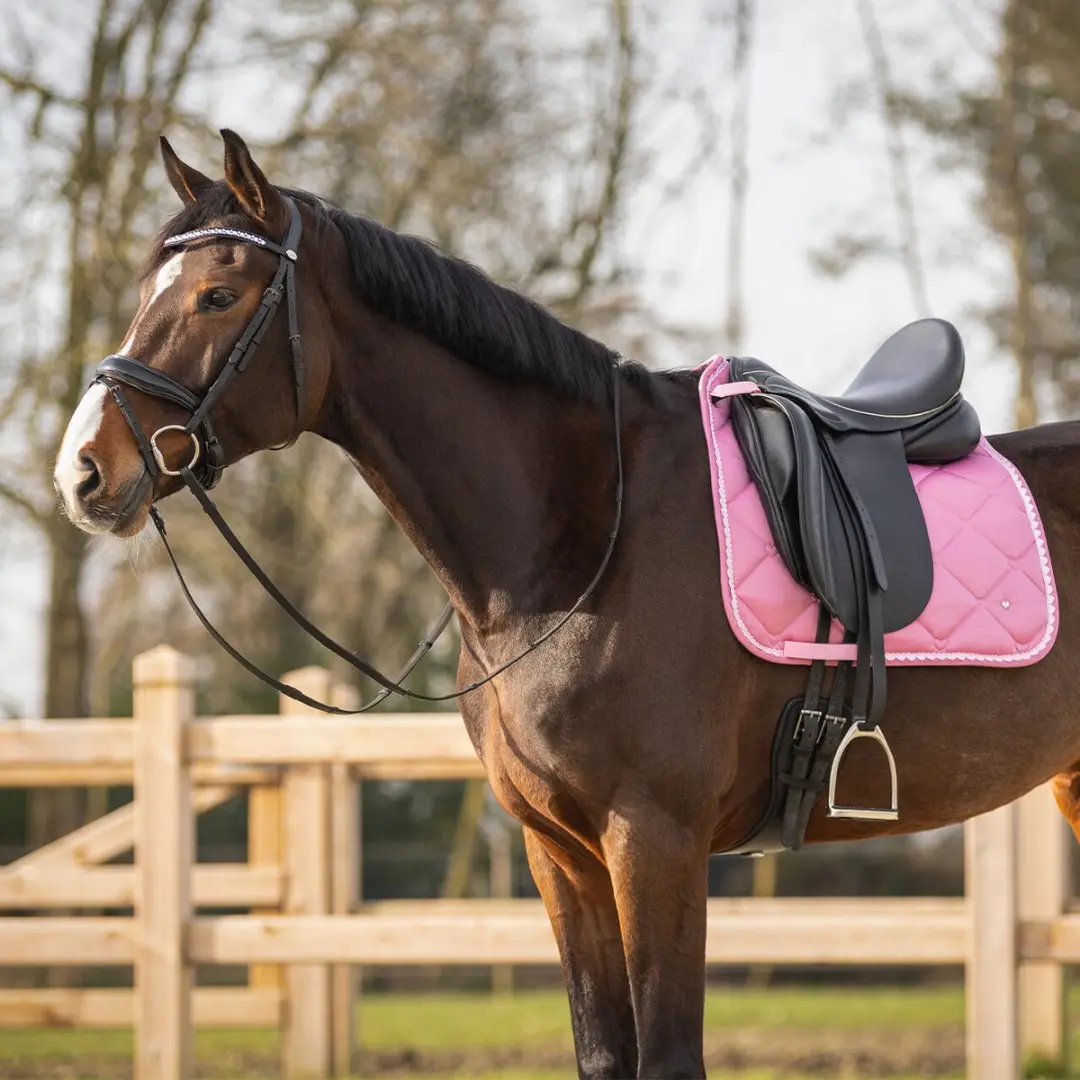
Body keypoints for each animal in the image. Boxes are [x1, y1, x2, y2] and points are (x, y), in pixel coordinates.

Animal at [53, 129, 1080, 1079]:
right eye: (147, 289)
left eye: (218, 296)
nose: (85, 471)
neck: (579, 550)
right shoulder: (561, 852)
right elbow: (603, 1050)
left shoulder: (654, 841)